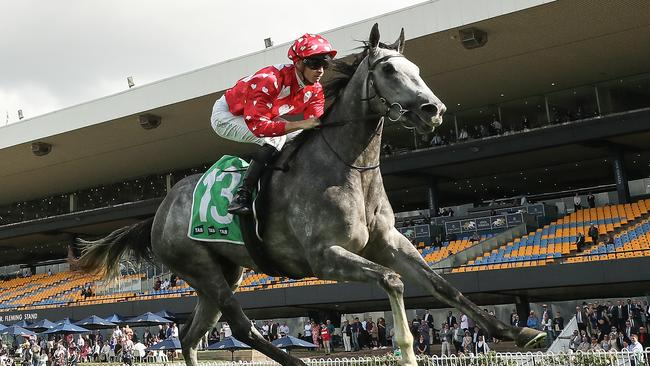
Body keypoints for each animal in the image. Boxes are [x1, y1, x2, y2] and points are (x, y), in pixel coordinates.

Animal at [73, 24, 544, 364]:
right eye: (390, 71)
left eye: (417, 69)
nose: (434, 110)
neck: (348, 167)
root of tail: (158, 211)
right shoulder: (323, 256)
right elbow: (392, 280)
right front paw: (407, 352)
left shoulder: (390, 242)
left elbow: (444, 286)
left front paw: (521, 331)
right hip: (199, 266)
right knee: (241, 327)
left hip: (222, 273)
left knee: (191, 336)